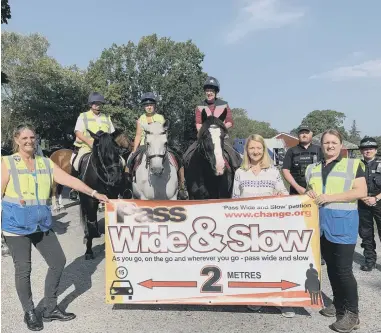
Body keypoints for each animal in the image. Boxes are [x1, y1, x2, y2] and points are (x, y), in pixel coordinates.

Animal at [78, 130, 130, 260]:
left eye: (118, 150)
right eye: (102, 153)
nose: (117, 179)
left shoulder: (112, 197)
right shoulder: (90, 201)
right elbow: (90, 222)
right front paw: (89, 251)